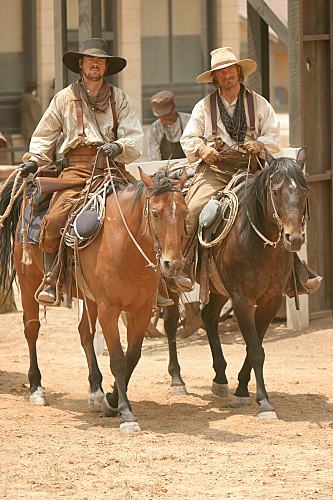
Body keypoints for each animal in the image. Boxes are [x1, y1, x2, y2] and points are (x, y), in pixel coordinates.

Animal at [0, 169, 187, 434]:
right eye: (155, 213)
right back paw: (36, 388)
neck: (124, 245)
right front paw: (126, 415)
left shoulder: (140, 310)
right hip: (28, 285)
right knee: (32, 330)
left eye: (185, 212)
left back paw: (96, 391)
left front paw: (111, 400)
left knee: (85, 334)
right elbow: (118, 360)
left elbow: (132, 357)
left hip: (88, 299)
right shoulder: (109, 309)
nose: (173, 264)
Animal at [163, 149, 308, 422]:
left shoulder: (271, 301)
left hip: (218, 288)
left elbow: (255, 347)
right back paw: (177, 380)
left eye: (305, 192)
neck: (256, 242)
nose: (293, 238)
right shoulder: (242, 299)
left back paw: (220, 378)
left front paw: (241, 391)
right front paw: (264, 403)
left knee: (209, 317)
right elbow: (256, 350)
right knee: (170, 323)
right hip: (171, 283)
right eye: (275, 192)